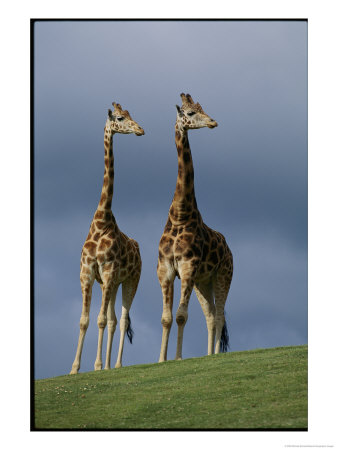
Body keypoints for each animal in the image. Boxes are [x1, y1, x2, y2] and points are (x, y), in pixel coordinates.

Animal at [70, 101, 145, 372]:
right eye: (121, 118)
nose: (140, 130)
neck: (101, 221)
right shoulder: (88, 273)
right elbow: (85, 320)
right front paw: (74, 368)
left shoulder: (109, 271)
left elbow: (101, 320)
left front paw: (96, 365)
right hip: (110, 284)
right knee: (113, 319)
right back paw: (110, 365)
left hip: (131, 280)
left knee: (121, 320)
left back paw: (117, 364)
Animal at [156, 92, 232, 362]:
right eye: (190, 113)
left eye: (203, 108)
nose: (213, 122)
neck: (180, 215)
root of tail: (229, 249)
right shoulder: (166, 269)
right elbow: (167, 318)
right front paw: (161, 359)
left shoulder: (187, 267)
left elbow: (181, 316)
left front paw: (177, 359)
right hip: (203, 281)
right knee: (210, 315)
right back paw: (208, 355)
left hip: (223, 275)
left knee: (219, 315)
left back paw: (215, 356)